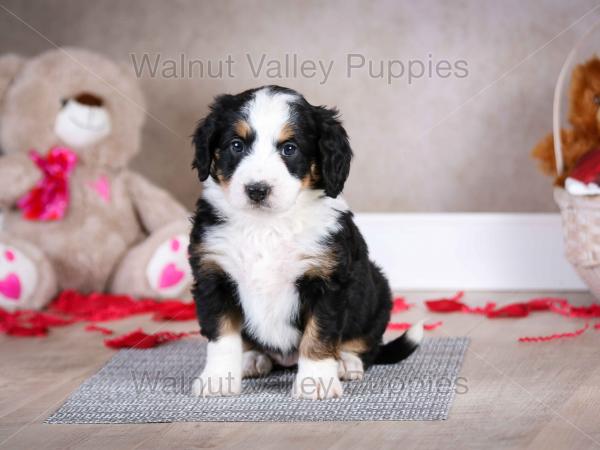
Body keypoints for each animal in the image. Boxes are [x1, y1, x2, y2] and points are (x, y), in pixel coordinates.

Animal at [190, 86, 420, 400]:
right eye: (236, 145)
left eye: (290, 149)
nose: (257, 190)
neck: (266, 226)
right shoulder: (213, 274)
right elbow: (221, 335)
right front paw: (218, 379)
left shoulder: (327, 280)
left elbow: (319, 335)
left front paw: (316, 381)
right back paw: (252, 358)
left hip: (378, 293)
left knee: (365, 344)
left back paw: (346, 362)